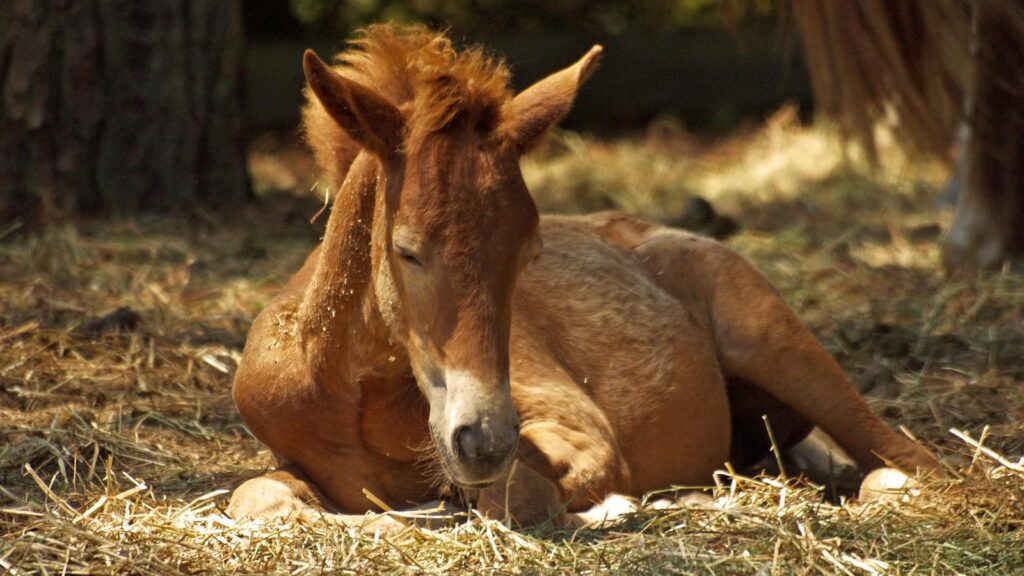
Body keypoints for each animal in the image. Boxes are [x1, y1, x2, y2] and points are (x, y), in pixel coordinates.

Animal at [227, 24, 942, 528]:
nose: (483, 441)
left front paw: (612, 505)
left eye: (529, 251)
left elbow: (516, 497)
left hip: (778, 344)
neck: (351, 397)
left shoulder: (579, 431)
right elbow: (256, 498)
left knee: (912, 461)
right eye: (407, 250)